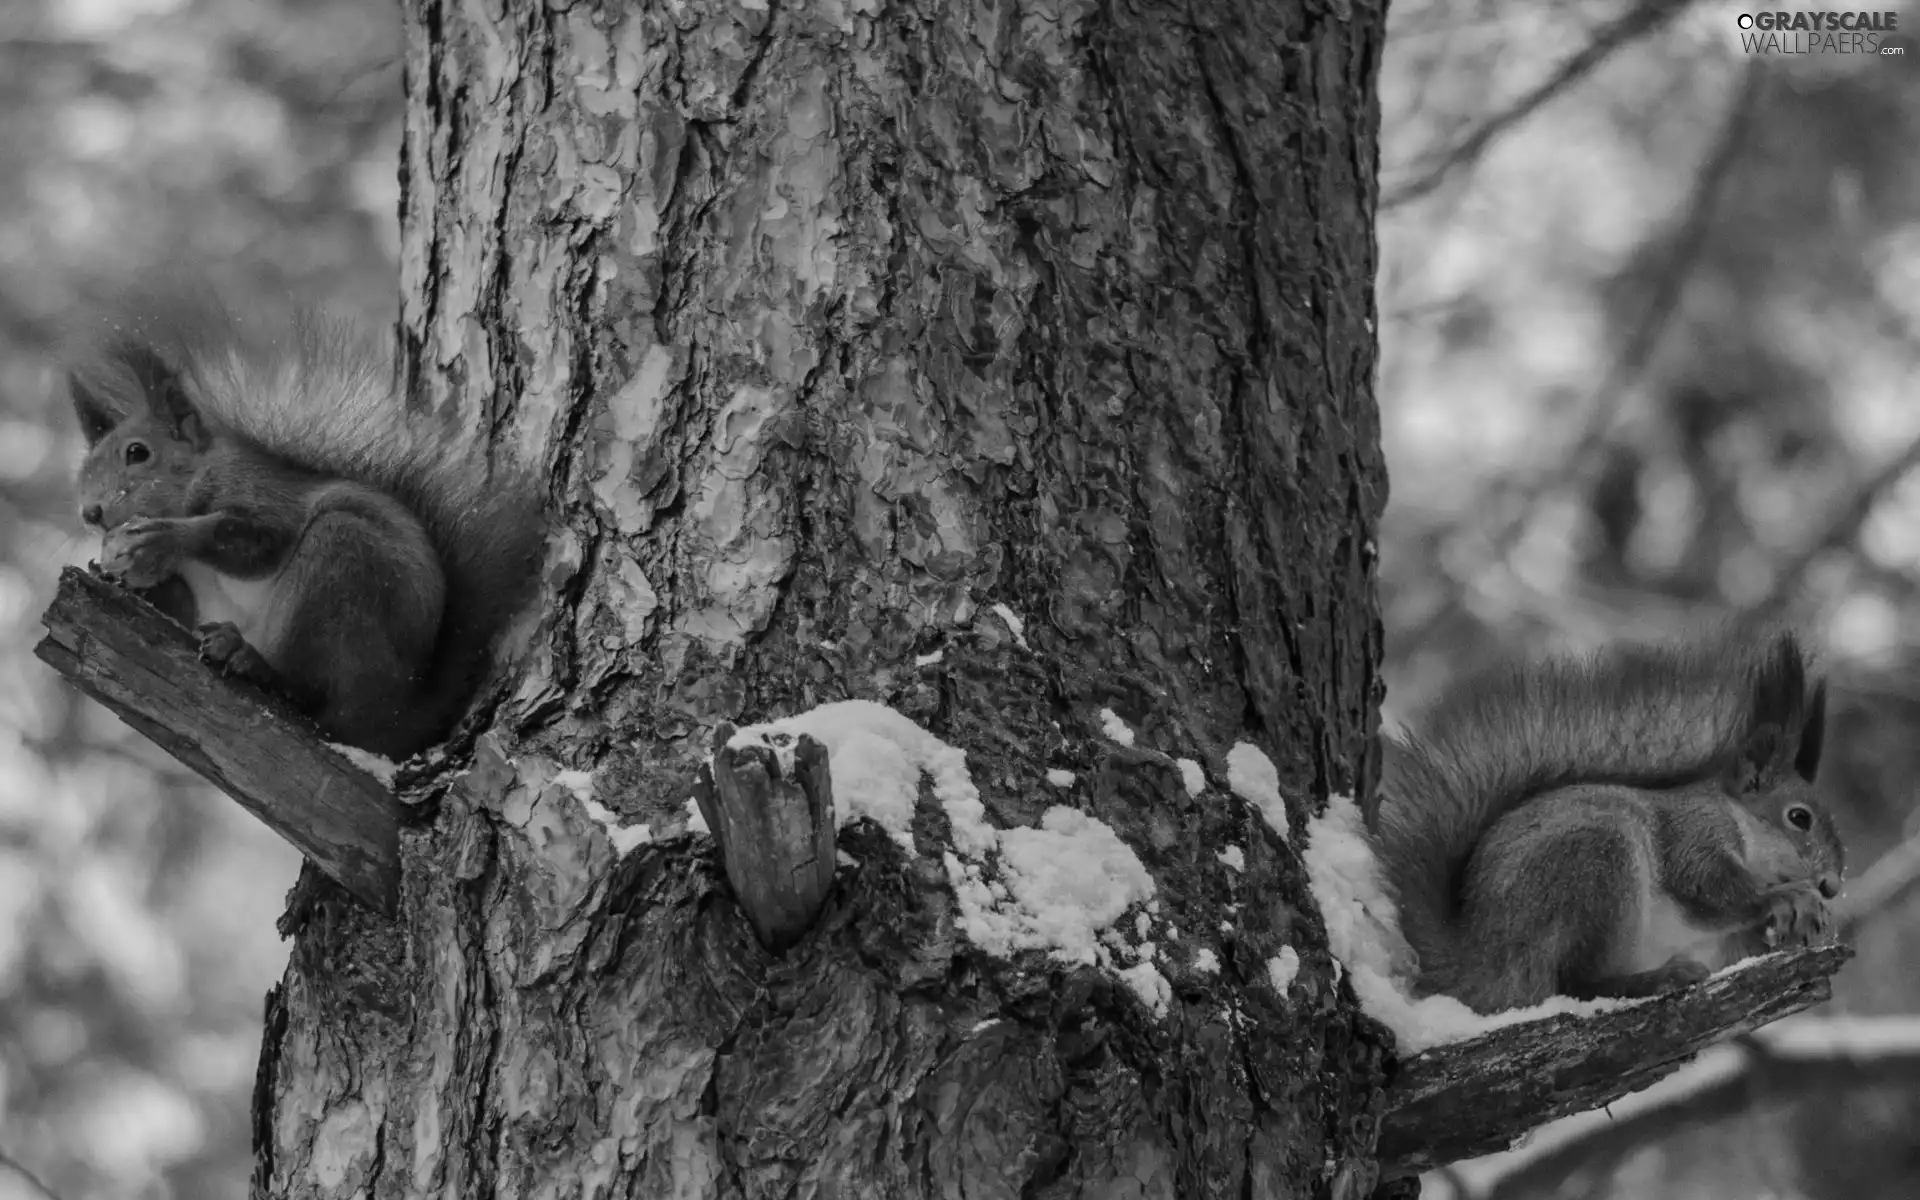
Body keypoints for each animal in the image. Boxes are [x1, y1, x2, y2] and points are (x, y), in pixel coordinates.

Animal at [66, 291, 545, 756]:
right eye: (82, 470)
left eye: (137, 453)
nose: (90, 513)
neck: (196, 479)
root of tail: (397, 719)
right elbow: (179, 605)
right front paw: (119, 576)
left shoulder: (263, 495)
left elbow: (256, 542)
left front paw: (164, 538)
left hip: (343, 566)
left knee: (314, 693)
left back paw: (256, 663)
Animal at [1367, 633, 1843, 1013]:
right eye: (1799, 817)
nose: (1832, 886)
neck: (1741, 822)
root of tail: (1479, 960)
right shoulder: (1694, 832)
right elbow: (1709, 887)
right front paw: (1786, 898)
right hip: (1595, 865)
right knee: (1576, 983)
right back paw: (1656, 979)